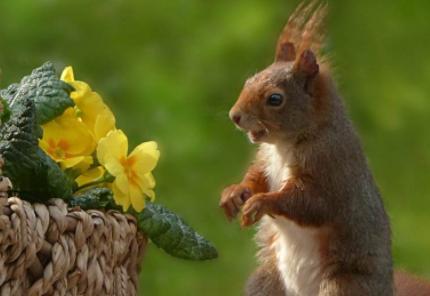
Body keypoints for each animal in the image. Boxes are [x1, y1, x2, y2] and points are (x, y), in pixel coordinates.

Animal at [220, 1, 430, 294]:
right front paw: (235, 193)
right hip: (265, 281)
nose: (234, 116)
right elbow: (257, 177)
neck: (285, 144)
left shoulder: (331, 165)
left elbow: (312, 203)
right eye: (249, 81)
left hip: (343, 285)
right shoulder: (266, 159)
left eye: (275, 99)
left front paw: (262, 202)